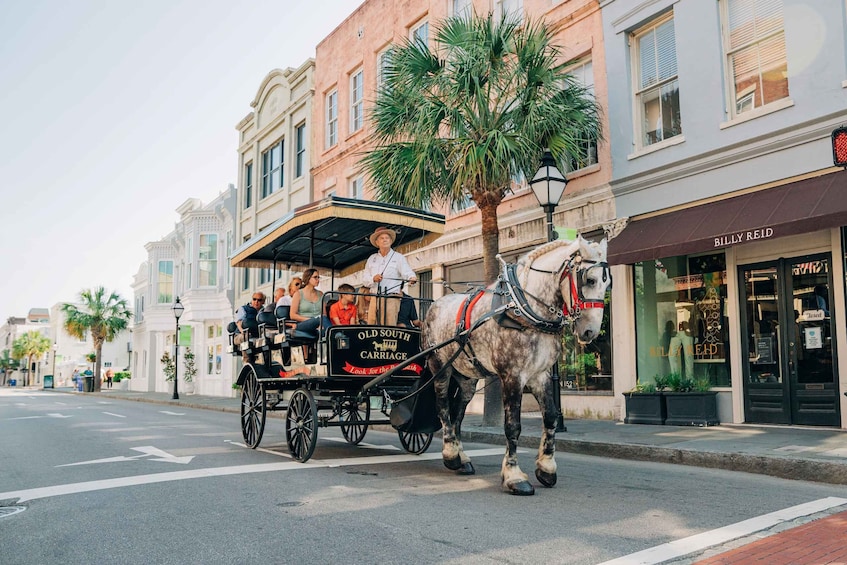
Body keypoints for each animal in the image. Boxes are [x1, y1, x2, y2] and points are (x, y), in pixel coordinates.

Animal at [422, 235, 608, 494]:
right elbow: (513, 426)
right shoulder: (512, 375)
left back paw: (462, 458)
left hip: (467, 376)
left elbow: (551, 416)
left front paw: (546, 468)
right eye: (589, 280)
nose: (591, 332)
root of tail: (434, 304)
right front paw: (514, 476)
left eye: (607, 283)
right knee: (443, 407)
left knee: (458, 412)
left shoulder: (540, 374)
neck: (525, 308)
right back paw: (450, 454)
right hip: (439, 365)